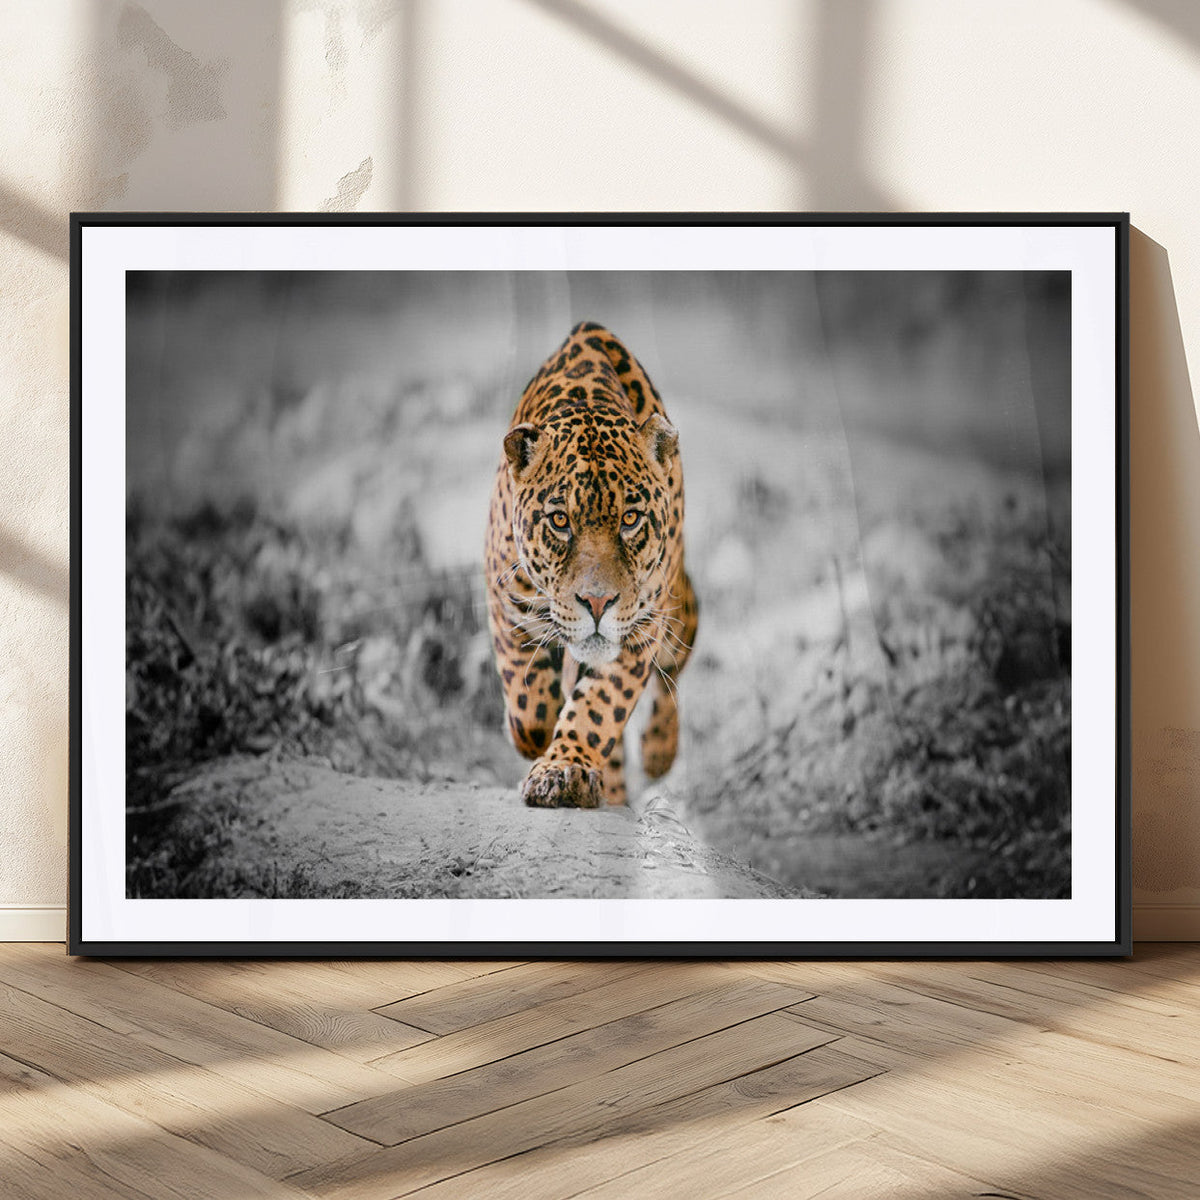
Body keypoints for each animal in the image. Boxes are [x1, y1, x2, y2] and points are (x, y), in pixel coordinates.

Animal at [484, 322, 699, 809]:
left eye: (631, 519)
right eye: (560, 521)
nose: (597, 603)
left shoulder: (641, 628)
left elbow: (599, 707)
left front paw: (563, 770)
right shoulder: (505, 600)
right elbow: (529, 704)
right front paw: (536, 738)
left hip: (678, 609)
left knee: (674, 669)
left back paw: (658, 752)